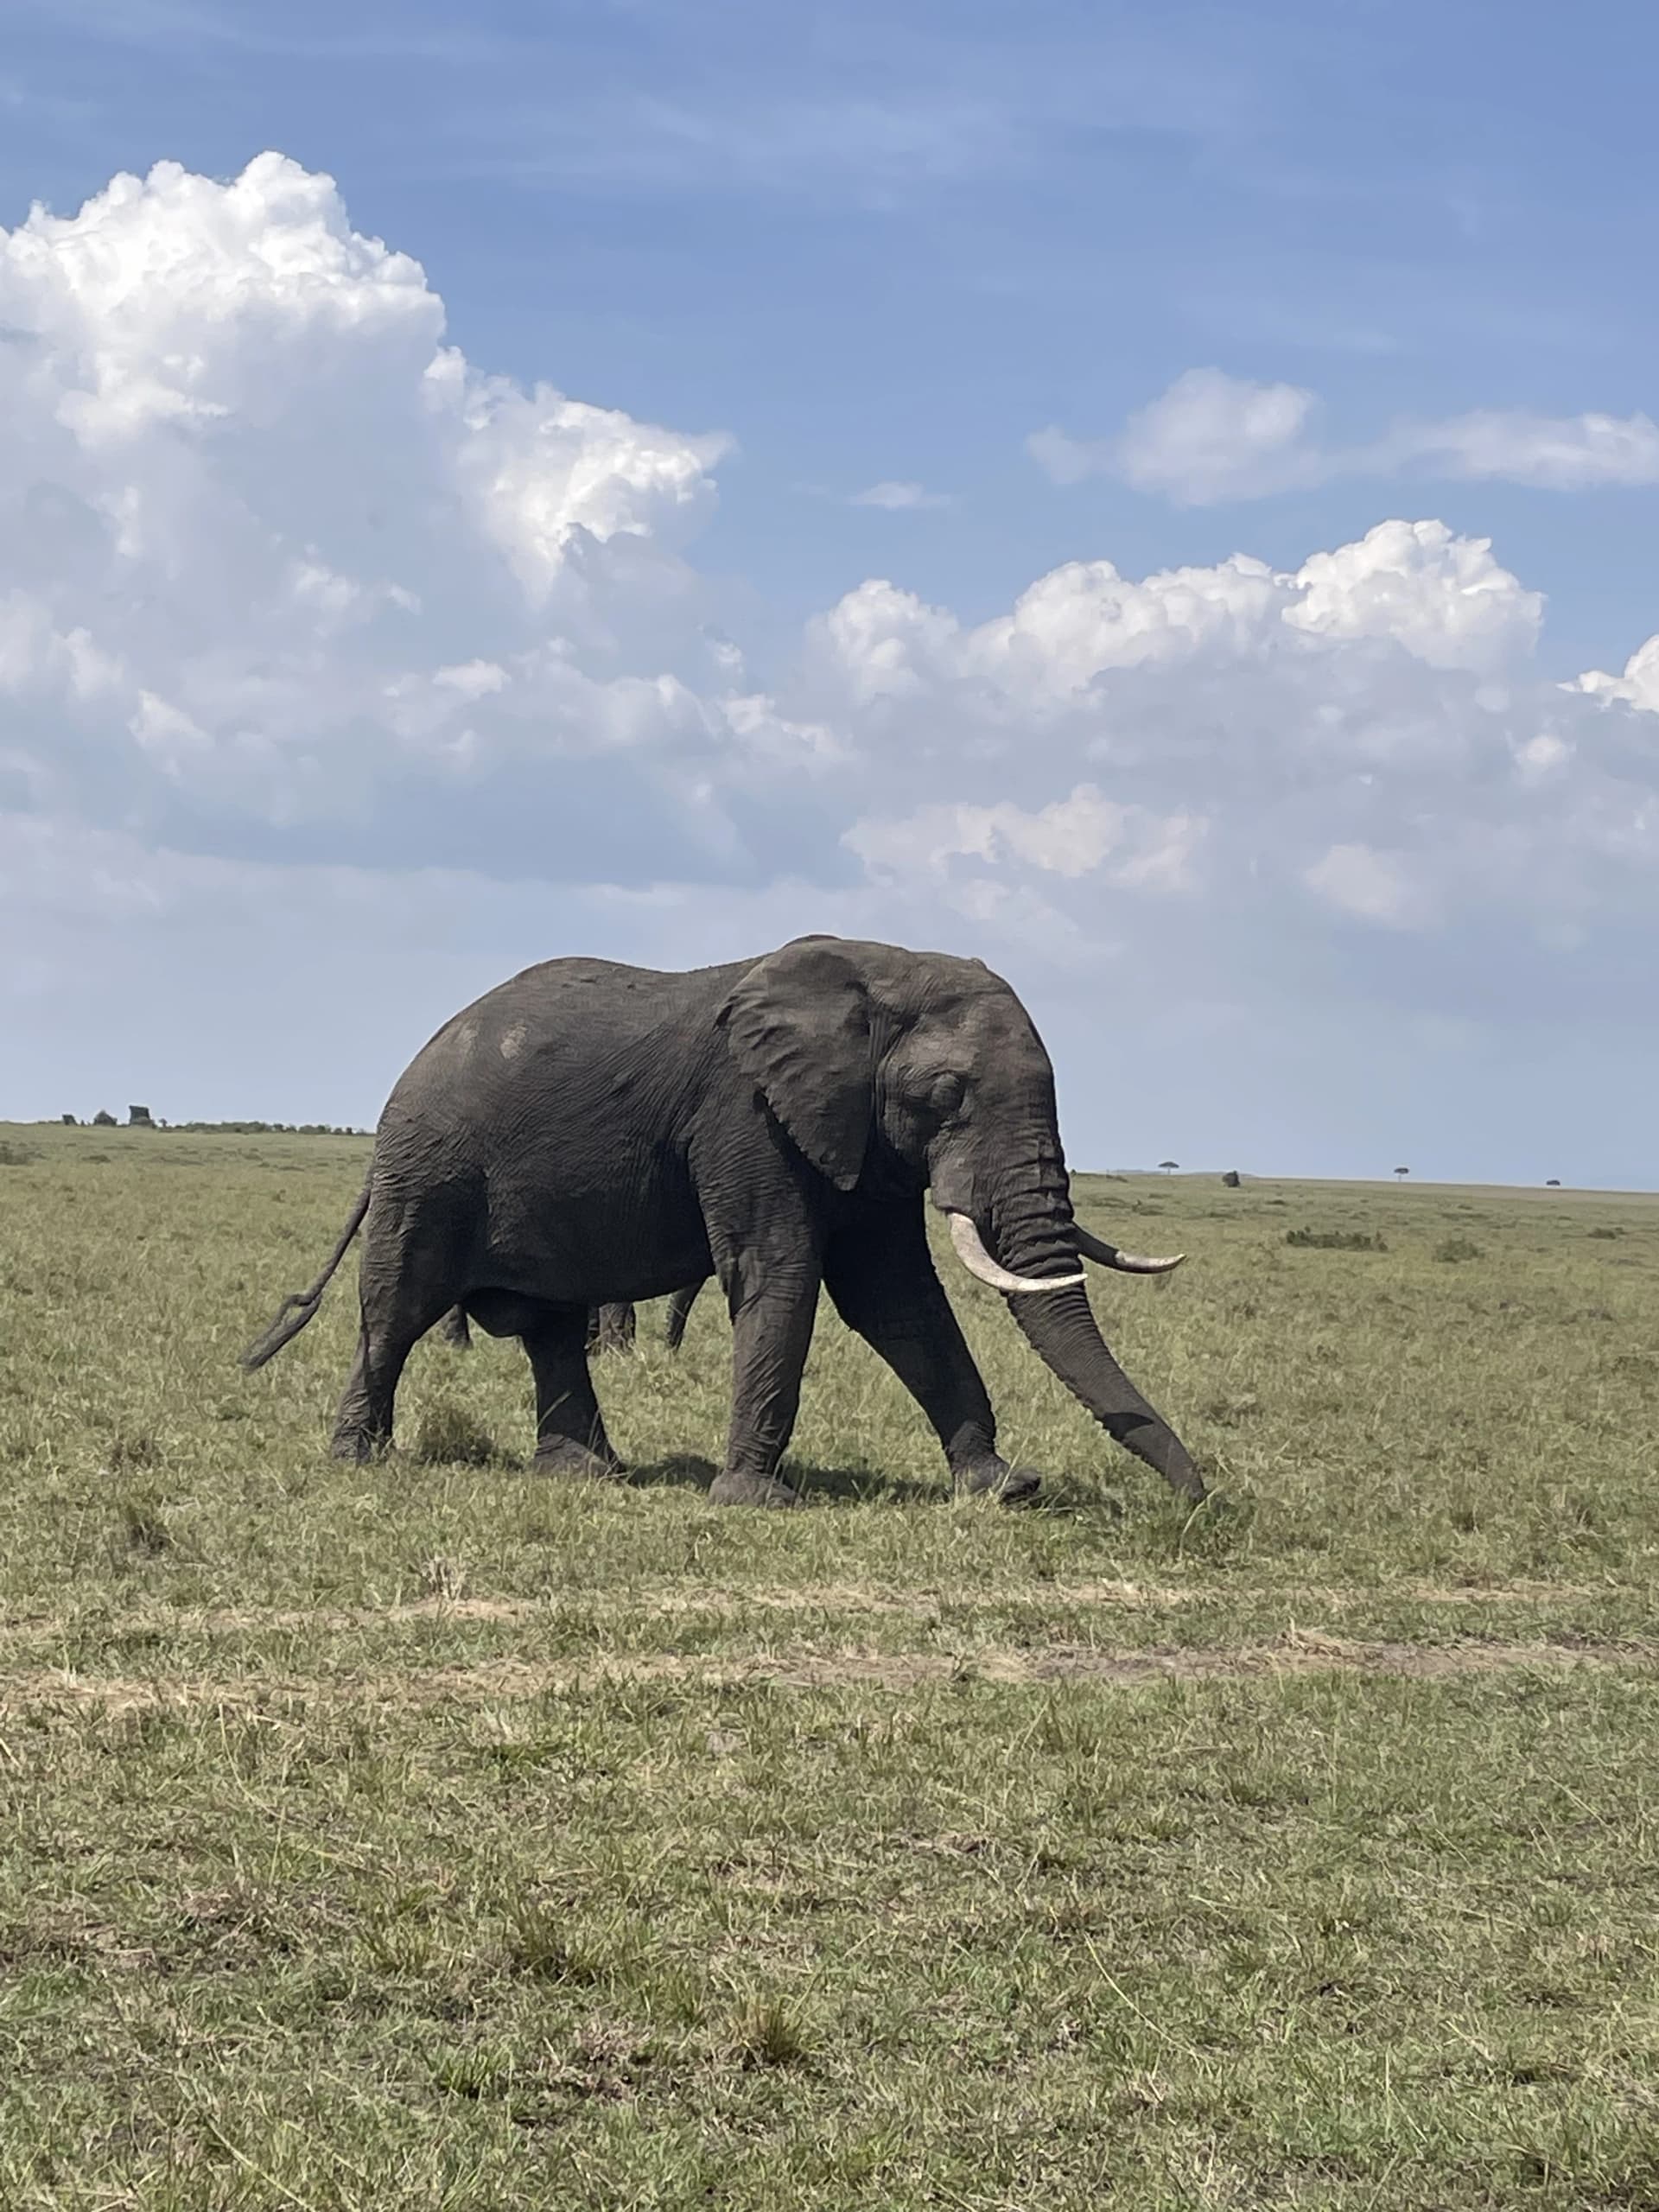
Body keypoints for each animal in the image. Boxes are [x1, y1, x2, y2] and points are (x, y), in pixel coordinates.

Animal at [241, 935, 1200, 1507]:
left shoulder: (856, 1137)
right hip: (427, 1170)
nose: (1199, 1498)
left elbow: (898, 1301)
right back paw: (358, 1460)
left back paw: (589, 1473)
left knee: (548, 1327)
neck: (879, 970)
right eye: (946, 1093)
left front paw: (1001, 1487)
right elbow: (780, 1274)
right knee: (397, 1309)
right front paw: (755, 1501)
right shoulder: (747, 1116)